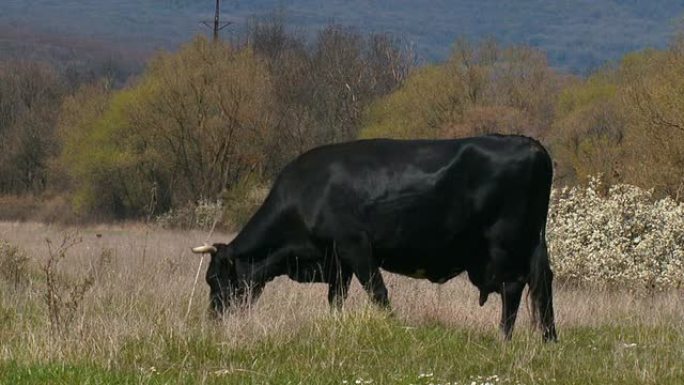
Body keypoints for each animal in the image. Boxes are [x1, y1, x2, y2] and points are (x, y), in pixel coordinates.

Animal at [191, 134, 556, 340]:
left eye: (214, 280)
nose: (212, 321)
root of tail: (531, 144)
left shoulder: (356, 247)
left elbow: (378, 293)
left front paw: (394, 329)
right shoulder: (337, 262)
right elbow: (336, 299)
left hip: (505, 245)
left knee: (513, 289)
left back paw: (504, 339)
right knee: (543, 286)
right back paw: (548, 339)